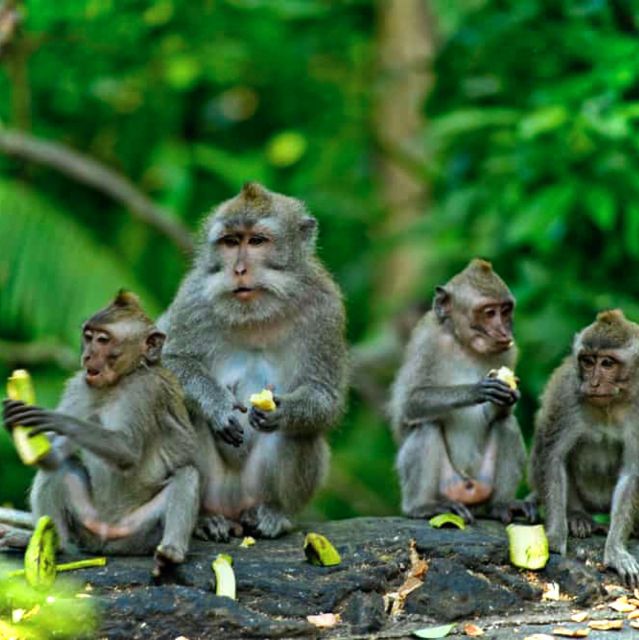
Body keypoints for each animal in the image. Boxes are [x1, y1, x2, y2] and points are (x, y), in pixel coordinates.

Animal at [2, 291, 200, 575]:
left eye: (103, 340)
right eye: (88, 336)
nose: (87, 357)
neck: (120, 380)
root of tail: (106, 535)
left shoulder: (146, 391)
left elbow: (127, 450)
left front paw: (58, 420)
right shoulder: (79, 386)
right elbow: (53, 458)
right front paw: (12, 421)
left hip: (138, 532)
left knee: (187, 474)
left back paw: (171, 553)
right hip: (87, 522)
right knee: (60, 468)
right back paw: (55, 544)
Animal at [158, 182, 348, 541]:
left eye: (257, 241)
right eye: (231, 242)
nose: (239, 270)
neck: (257, 314)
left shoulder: (325, 308)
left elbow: (325, 395)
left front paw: (284, 411)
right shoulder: (192, 298)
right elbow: (169, 364)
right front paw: (217, 404)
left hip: (254, 489)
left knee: (303, 433)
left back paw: (274, 514)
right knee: (184, 412)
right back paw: (204, 518)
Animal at [389, 259, 534, 525]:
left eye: (505, 311)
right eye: (489, 312)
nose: (504, 332)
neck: (464, 345)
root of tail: (468, 489)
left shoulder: (509, 352)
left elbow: (502, 415)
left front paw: (509, 398)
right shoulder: (427, 343)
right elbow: (410, 404)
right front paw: (477, 390)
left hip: (482, 483)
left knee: (507, 424)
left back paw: (501, 504)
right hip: (447, 484)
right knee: (426, 426)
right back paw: (422, 506)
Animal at [531, 309, 639, 586]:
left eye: (607, 363)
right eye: (588, 362)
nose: (593, 383)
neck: (612, 403)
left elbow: (632, 473)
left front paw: (615, 551)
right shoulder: (567, 394)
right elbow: (553, 457)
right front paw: (555, 536)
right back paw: (577, 516)